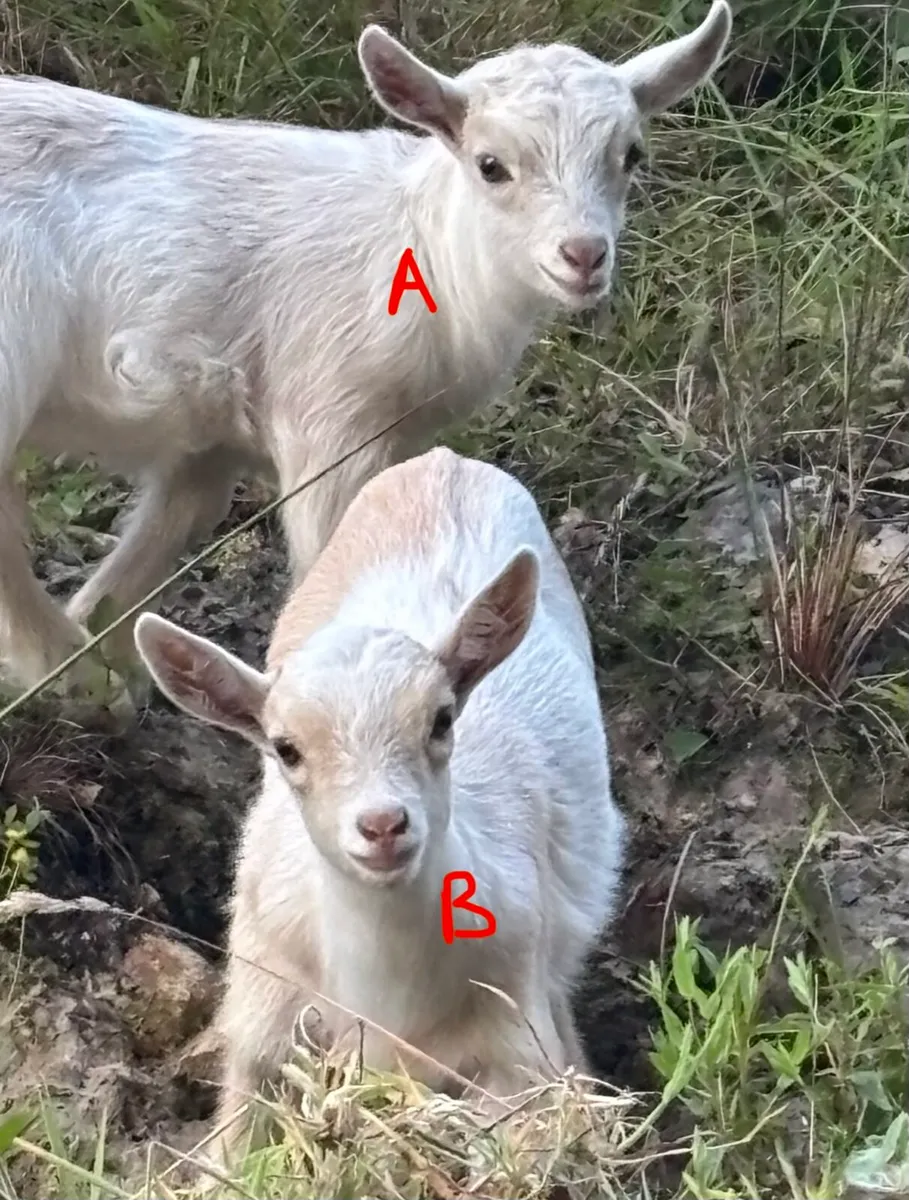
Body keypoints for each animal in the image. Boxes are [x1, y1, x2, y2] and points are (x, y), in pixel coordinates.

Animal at [0, 3, 732, 710]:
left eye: (631, 154)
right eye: (489, 165)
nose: (583, 255)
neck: (424, 248)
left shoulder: (214, 441)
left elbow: (151, 552)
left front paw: (110, 666)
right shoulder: (331, 421)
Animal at [133, 446, 626, 1170]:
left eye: (442, 719)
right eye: (285, 749)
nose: (384, 825)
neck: (390, 1000)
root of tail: (442, 463)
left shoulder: (513, 1040)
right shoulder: (262, 1014)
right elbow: (234, 1147)